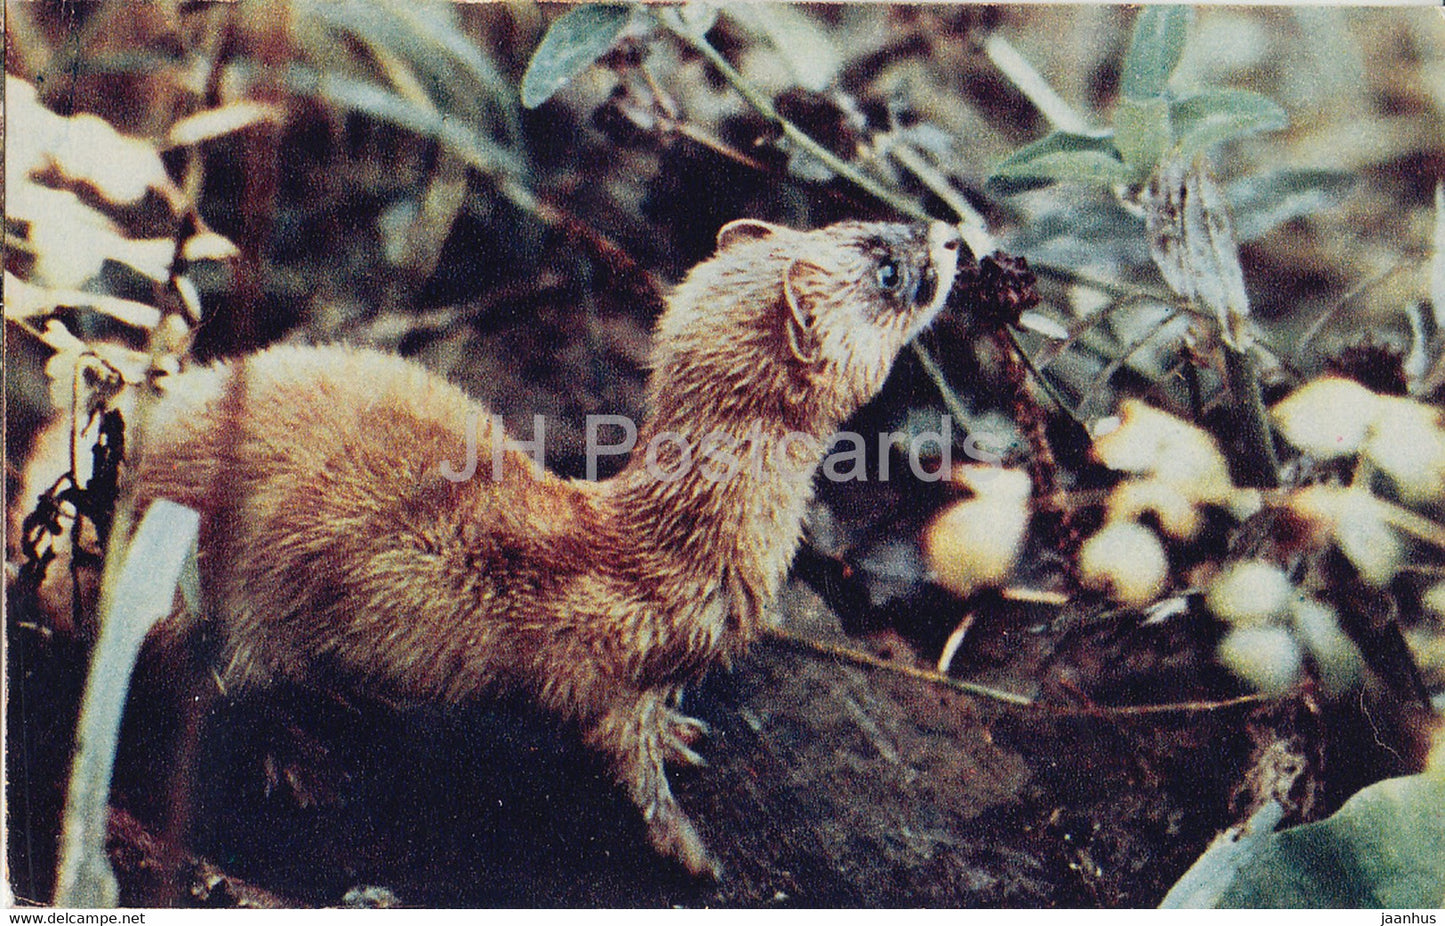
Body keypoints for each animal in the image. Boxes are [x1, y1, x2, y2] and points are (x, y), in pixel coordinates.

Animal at [19, 216, 959, 872]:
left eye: (849, 220)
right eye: (887, 266)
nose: (952, 234)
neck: (668, 552)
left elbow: (656, 724)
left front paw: (681, 735)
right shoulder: (602, 667)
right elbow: (623, 756)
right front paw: (688, 845)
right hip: (218, 596)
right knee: (206, 688)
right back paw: (307, 756)